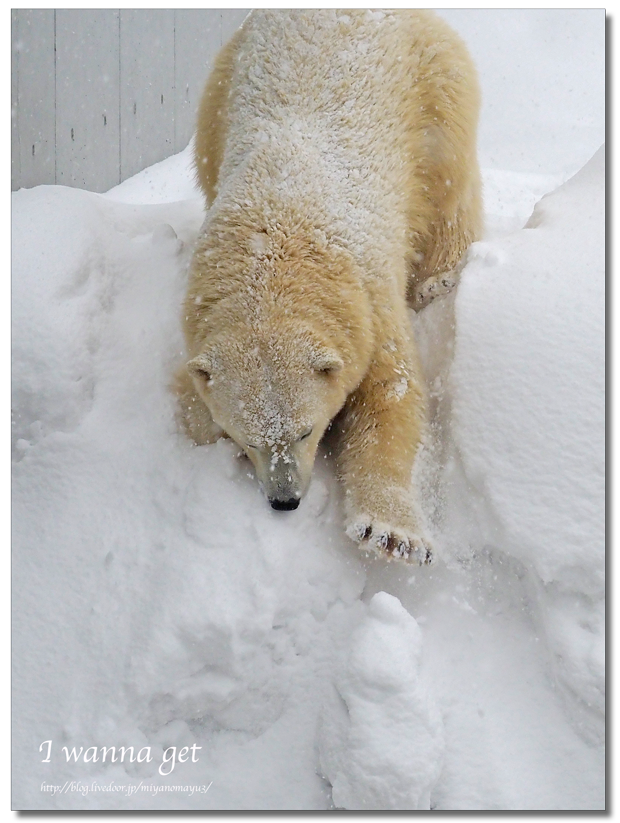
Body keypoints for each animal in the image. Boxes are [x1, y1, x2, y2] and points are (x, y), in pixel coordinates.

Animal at [177, 9, 482, 564]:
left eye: (306, 430)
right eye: (248, 438)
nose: (285, 500)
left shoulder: (365, 299)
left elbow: (391, 395)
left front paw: (391, 534)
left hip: (437, 83)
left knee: (450, 185)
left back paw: (440, 278)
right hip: (221, 85)